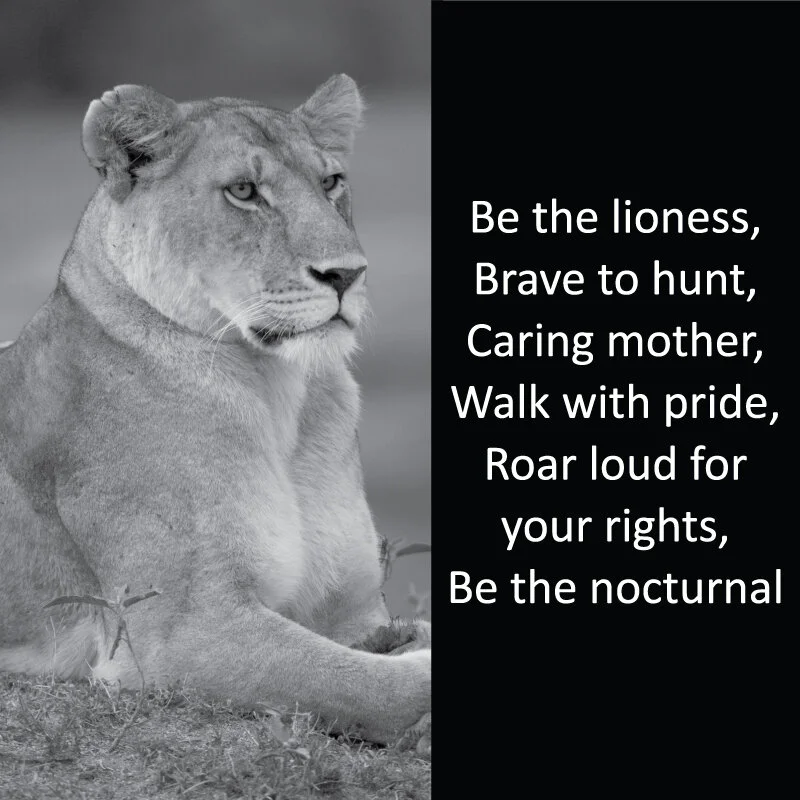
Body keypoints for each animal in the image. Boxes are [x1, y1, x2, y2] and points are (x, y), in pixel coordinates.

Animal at [0, 75, 430, 746]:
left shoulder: (352, 607)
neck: (283, 395)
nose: (347, 274)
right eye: (244, 191)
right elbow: (367, 684)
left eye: (331, 181)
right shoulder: (177, 630)